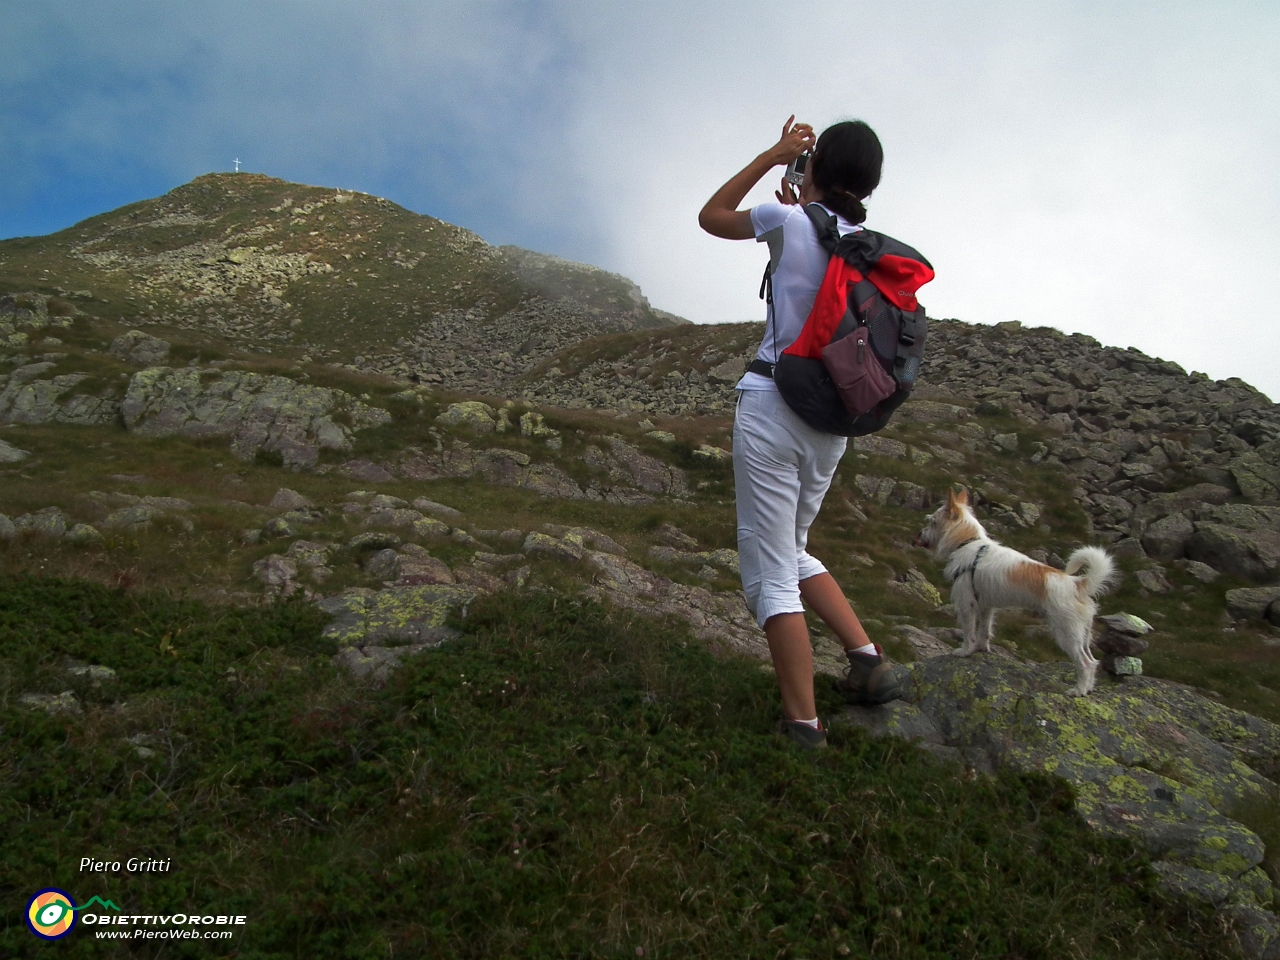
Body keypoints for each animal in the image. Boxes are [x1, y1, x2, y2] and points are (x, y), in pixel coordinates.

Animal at [916, 491, 1116, 696]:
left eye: (933, 522)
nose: (919, 535)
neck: (968, 543)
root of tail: (1077, 584)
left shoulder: (967, 604)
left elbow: (969, 631)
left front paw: (965, 651)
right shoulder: (986, 606)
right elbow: (984, 631)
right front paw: (980, 648)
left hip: (1067, 633)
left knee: (1085, 663)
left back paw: (1078, 690)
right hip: (1083, 634)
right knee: (1092, 661)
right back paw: (1087, 688)